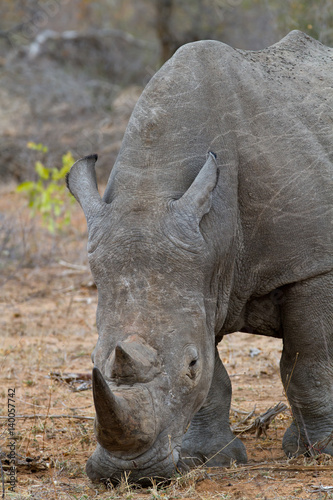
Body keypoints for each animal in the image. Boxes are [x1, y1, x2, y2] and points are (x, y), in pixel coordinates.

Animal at [66, 31, 330, 484]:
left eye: (190, 364)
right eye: (93, 361)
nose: (129, 473)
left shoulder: (310, 265)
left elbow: (309, 363)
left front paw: (318, 452)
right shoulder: (202, 277)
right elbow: (216, 381)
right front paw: (207, 459)